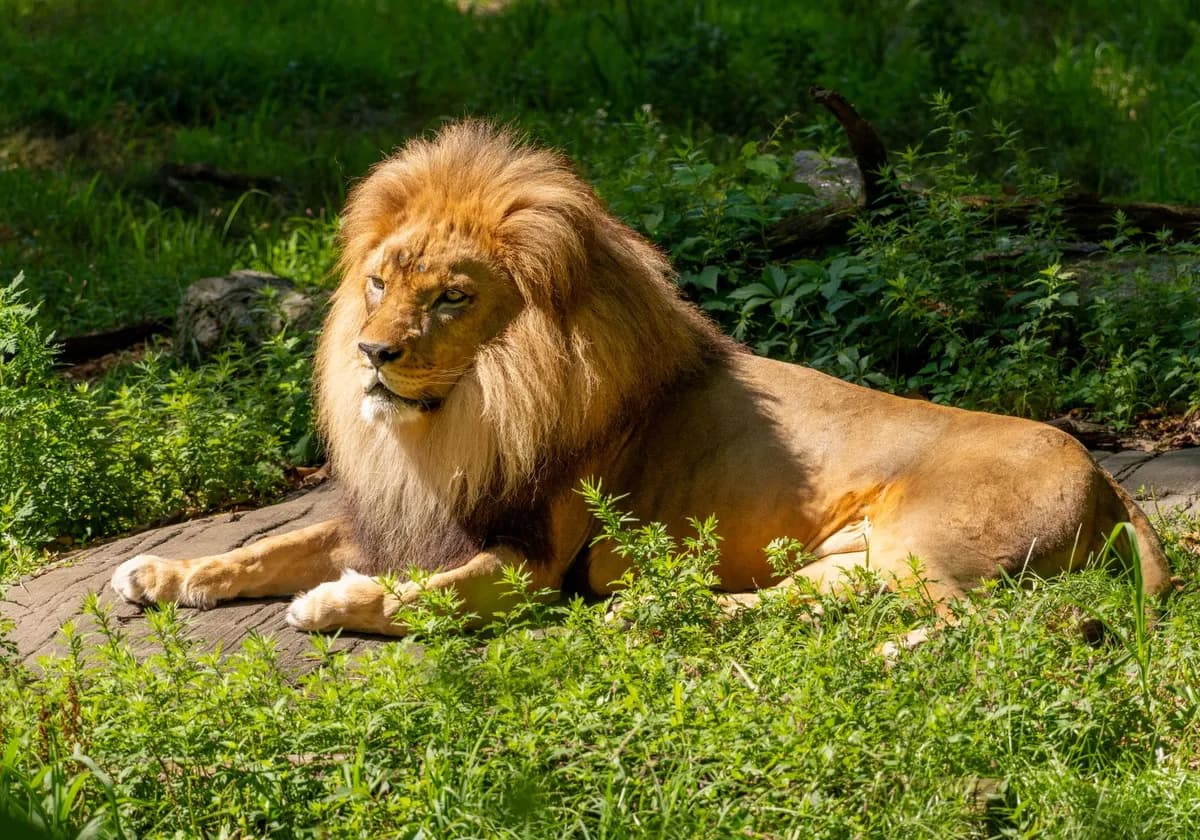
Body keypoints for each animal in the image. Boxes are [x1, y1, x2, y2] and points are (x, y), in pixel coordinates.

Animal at [112, 120, 1171, 635]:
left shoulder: (532, 563)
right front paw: (165, 572)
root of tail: (1108, 478)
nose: (372, 354)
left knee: (968, 625)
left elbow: (421, 596)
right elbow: (267, 546)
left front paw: (334, 603)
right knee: (806, 604)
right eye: (378, 283)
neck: (461, 418)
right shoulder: (407, 512)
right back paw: (656, 612)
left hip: (926, 544)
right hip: (855, 557)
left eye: (450, 298)